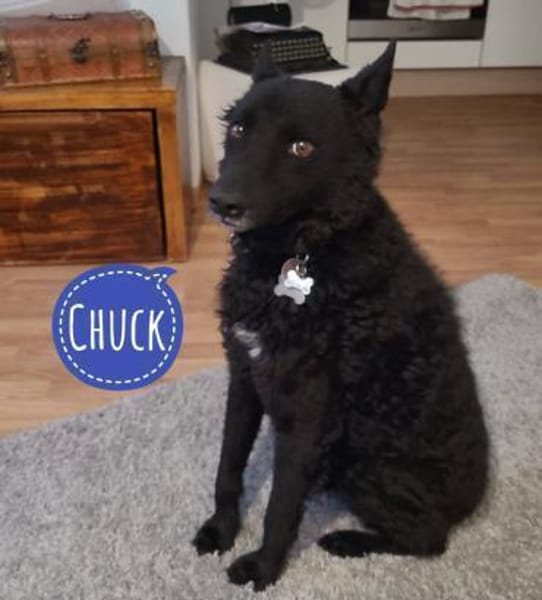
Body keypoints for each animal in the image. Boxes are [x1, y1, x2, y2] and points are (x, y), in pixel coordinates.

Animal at [192, 43, 489, 591]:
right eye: (239, 129)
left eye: (301, 148)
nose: (221, 202)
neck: (296, 255)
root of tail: (472, 501)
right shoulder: (244, 375)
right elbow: (228, 468)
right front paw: (220, 530)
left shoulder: (308, 409)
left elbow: (281, 505)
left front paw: (263, 568)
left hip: (370, 468)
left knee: (429, 540)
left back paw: (348, 540)